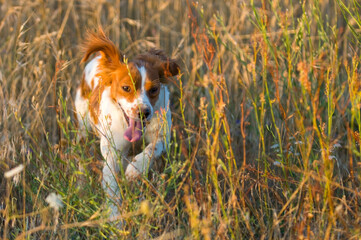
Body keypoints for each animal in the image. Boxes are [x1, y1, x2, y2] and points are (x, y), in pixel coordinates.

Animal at [74, 28, 179, 223]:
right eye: (126, 88)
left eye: (154, 89)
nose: (143, 112)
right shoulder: (112, 152)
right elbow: (112, 186)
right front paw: (115, 218)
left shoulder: (162, 135)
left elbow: (152, 148)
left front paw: (136, 169)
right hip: (83, 127)